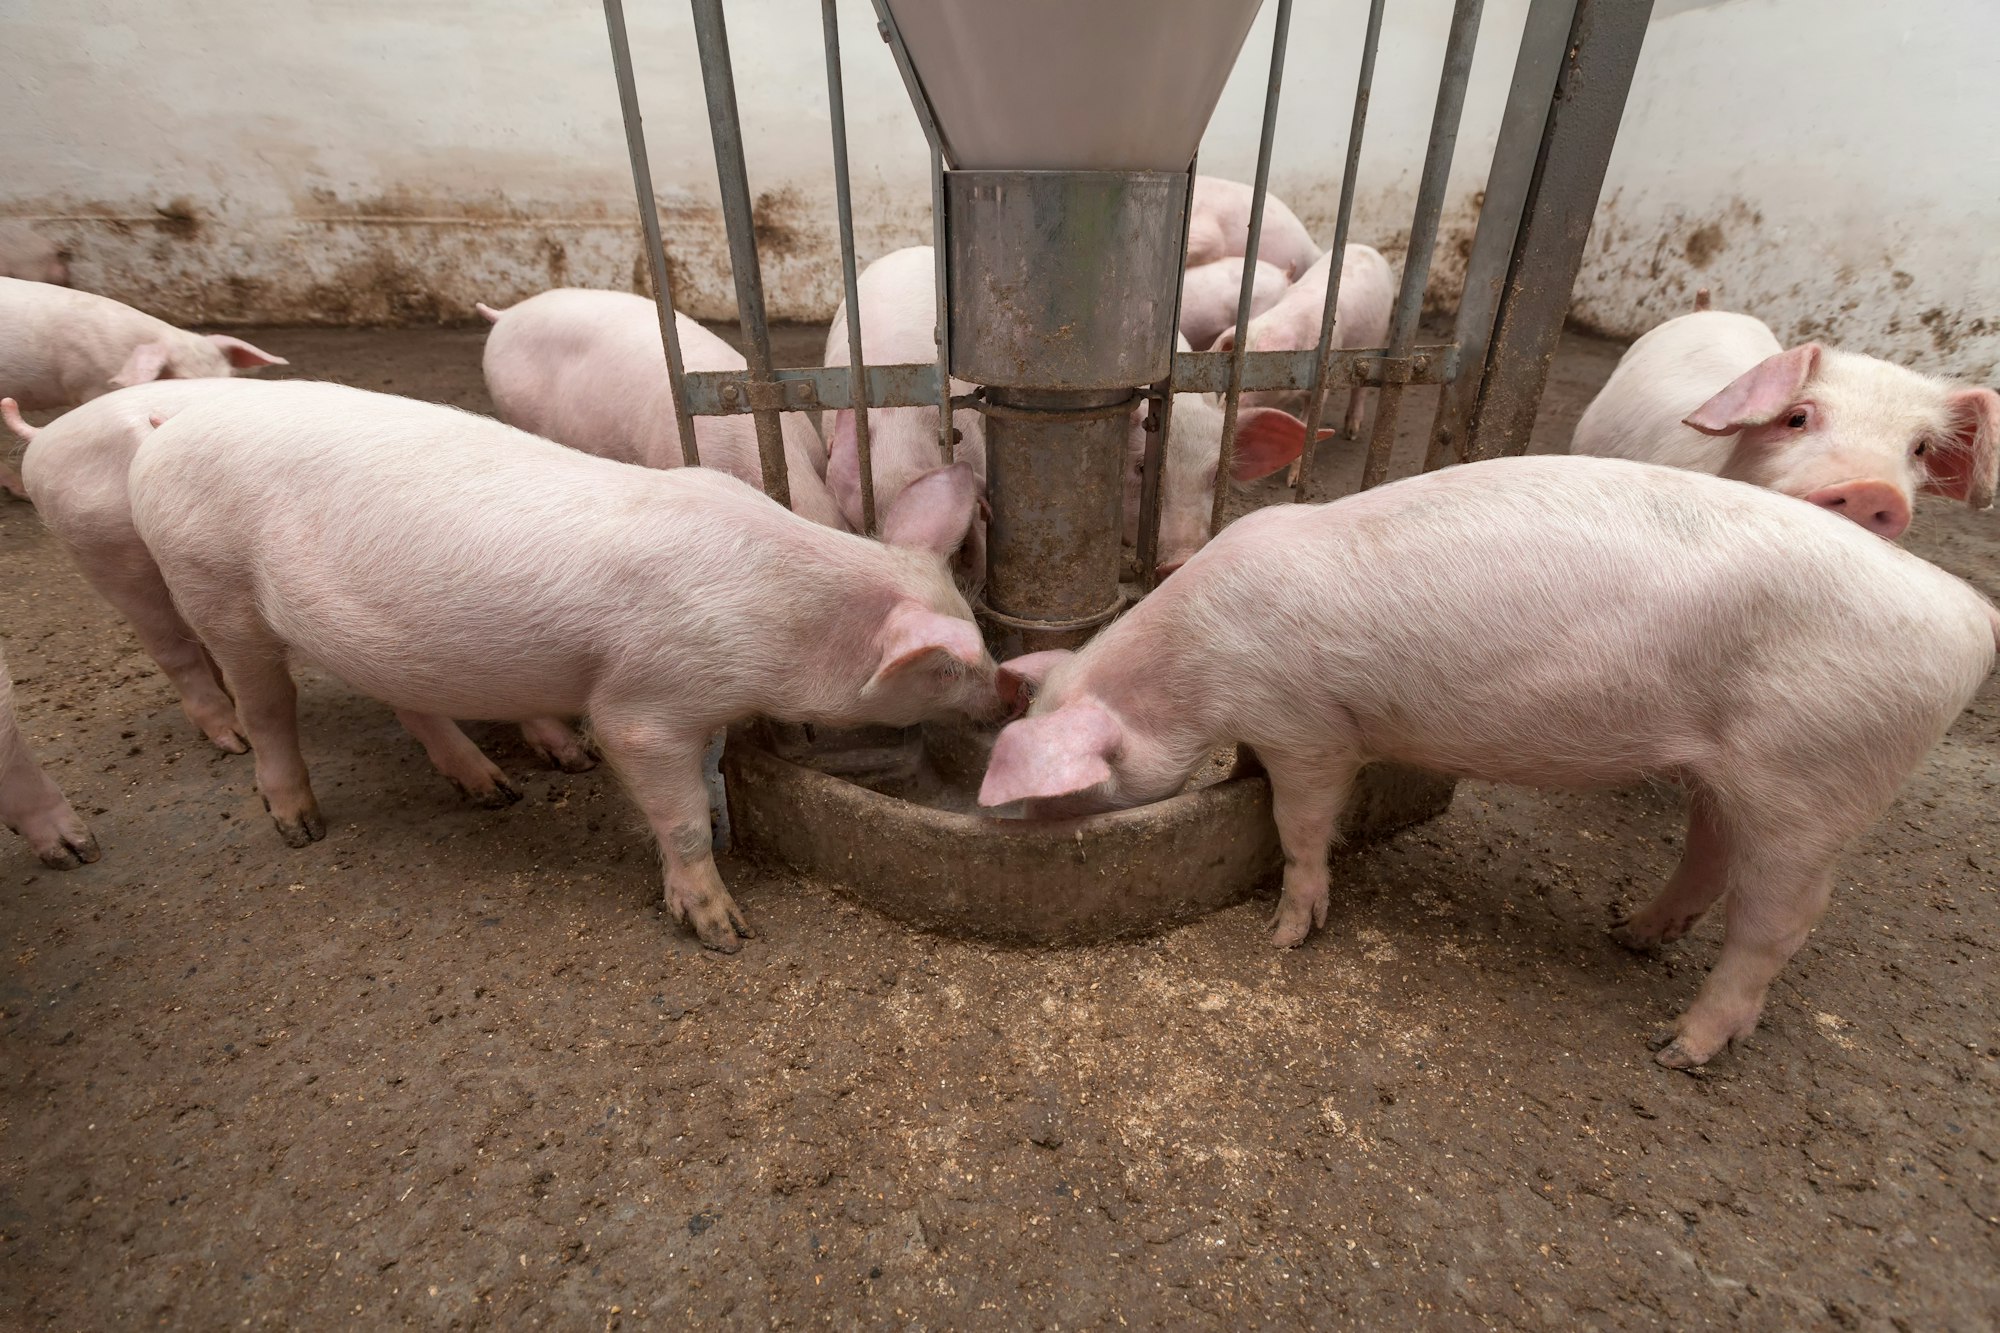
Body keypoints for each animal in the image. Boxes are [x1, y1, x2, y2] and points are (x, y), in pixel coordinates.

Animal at [127, 381, 1003, 951]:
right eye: (948, 669)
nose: (1010, 690)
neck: (784, 619)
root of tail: (166, 424)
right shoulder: (646, 702)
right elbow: (680, 810)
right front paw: (726, 932)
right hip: (210, 583)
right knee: (266, 706)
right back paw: (300, 825)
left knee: (411, 702)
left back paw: (501, 787)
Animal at [980, 454, 2000, 1069]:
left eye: (1069, 787)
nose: (1009, 826)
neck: (1196, 661)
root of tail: (1971, 616)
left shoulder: (1310, 726)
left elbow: (1302, 823)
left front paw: (1285, 933)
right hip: (1732, 773)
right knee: (1710, 857)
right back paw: (1630, 933)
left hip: (1813, 776)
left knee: (1780, 921)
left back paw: (1677, 1048)